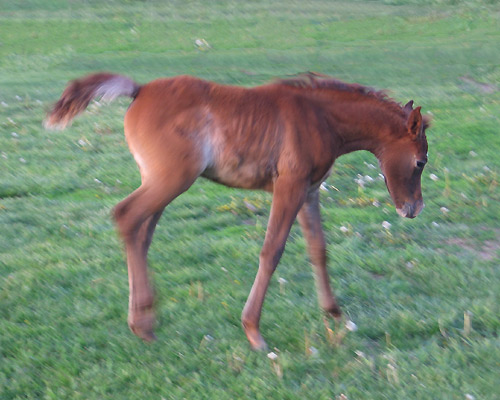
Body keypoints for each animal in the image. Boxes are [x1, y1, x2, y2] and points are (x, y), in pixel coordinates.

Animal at [47, 72, 428, 350]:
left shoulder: (309, 191)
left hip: (158, 180)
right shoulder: (289, 187)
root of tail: (139, 90)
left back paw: (143, 322)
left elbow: (318, 249)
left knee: (141, 232)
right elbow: (271, 251)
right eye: (421, 162)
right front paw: (253, 331)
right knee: (127, 216)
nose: (413, 208)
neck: (321, 118)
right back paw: (143, 324)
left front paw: (334, 314)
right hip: (172, 179)